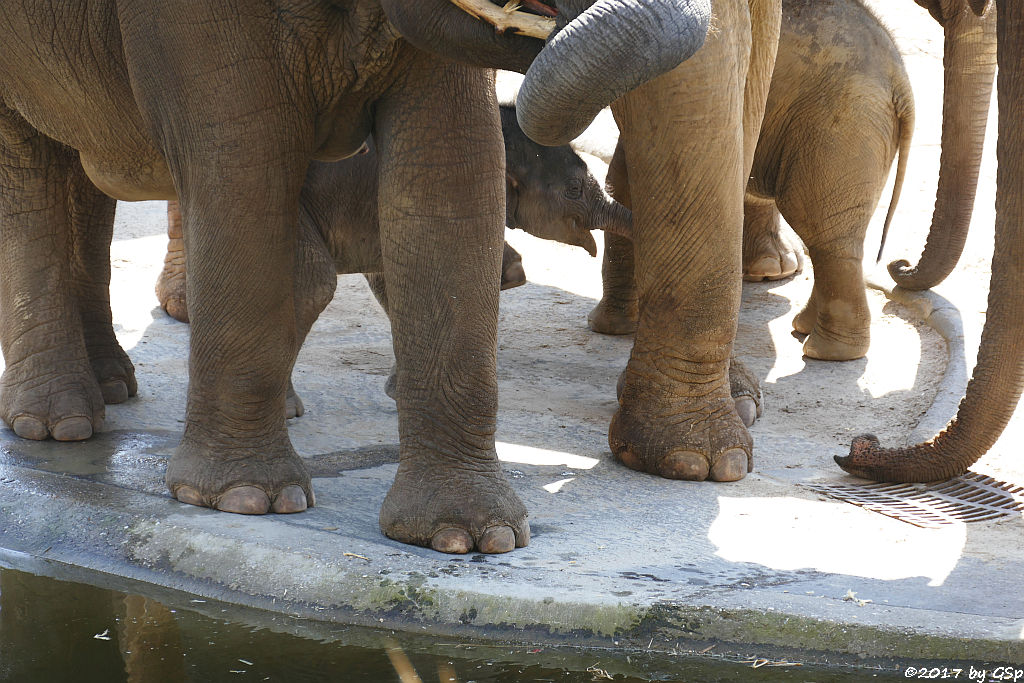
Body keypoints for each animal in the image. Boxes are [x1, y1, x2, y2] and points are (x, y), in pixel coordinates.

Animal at [0, 1, 712, 557]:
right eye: (572, 192)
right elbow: (243, 169)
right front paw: (244, 499)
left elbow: (448, 179)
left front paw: (471, 538)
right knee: (31, 174)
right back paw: (59, 425)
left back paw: (111, 389)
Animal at [593, 0, 913, 362]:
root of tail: (900, 82)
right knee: (832, 235)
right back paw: (807, 330)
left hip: (841, 126)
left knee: (821, 227)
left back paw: (823, 351)